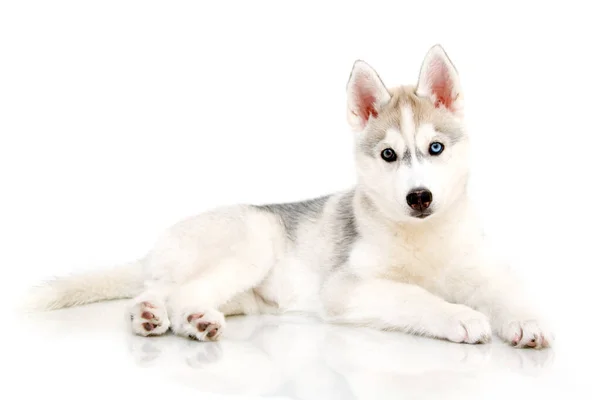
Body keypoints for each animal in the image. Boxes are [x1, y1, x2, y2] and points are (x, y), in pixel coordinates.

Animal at [27, 45, 552, 348]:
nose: (419, 197)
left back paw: (159, 317)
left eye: (435, 148)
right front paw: (459, 316)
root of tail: (154, 248)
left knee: (161, 293)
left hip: (243, 293)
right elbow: (414, 297)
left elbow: (507, 291)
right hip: (253, 240)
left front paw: (527, 321)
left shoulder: (480, 269)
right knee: (177, 293)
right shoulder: (347, 287)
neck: (423, 237)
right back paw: (184, 321)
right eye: (388, 155)